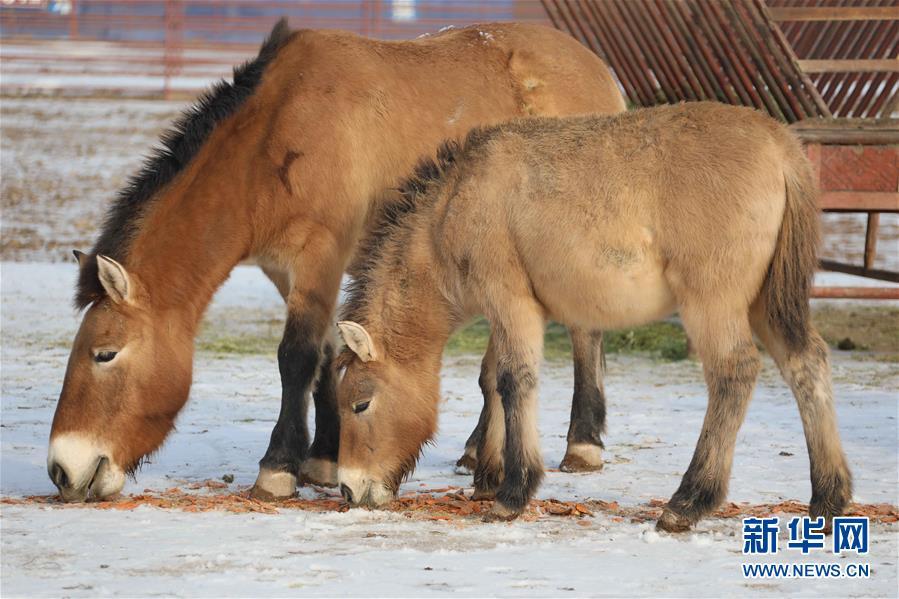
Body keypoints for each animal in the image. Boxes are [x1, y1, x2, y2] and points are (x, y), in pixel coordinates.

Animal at [47, 19, 624, 502]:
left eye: (104, 354)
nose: (60, 470)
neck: (277, 131)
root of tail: (599, 70)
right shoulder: (284, 270)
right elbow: (325, 356)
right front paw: (322, 458)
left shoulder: (320, 255)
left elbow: (296, 356)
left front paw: (278, 468)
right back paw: (477, 448)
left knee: (583, 333)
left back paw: (582, 444)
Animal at [336, 104, 852, 536]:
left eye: (361, 404)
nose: (347, 488)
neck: (454, 202)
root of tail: (781, 145)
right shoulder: (509, 311)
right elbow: (495, 380)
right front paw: (490, 476)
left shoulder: (510, 300)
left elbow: (513, 380)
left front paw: (512, 492)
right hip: (768, 304)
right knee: (807, 365)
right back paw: (829, 498)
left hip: (714, 304)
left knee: (734, 374)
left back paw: (688, 502)